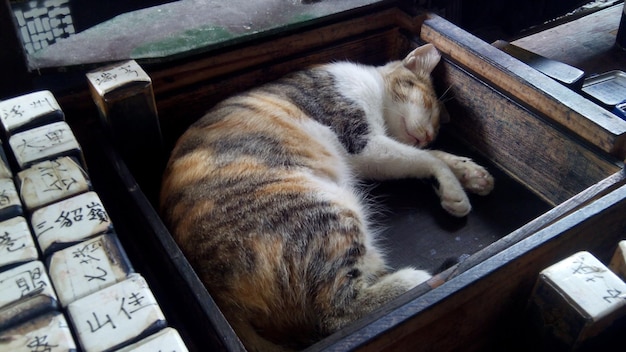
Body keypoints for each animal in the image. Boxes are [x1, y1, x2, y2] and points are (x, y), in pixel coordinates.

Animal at [158, 43, 490, 350]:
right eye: (430, 106)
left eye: (437, 127)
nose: (428, 135)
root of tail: (218, 294)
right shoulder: (363, 142)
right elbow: (429, 159)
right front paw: (454, 187)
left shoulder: (373, 155)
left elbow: (432, 157)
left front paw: (471, 174)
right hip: (326, 213)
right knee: (336, 312)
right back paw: (419, 277)